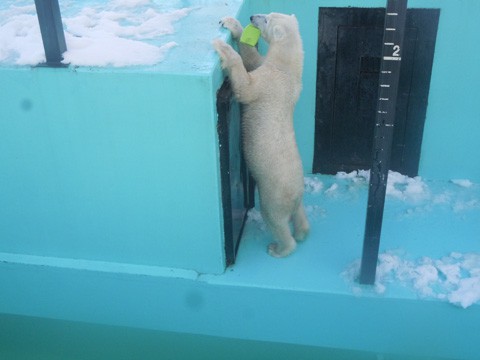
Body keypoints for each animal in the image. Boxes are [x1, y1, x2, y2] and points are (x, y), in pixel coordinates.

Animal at [213, 12, 310, 258]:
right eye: (268, 14)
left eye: (266, 20)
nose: (252, 16)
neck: (288, 71)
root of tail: (295, 196)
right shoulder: (269, 69)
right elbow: (252, 59)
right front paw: (233, 26)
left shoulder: (270, 83)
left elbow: (246, 86)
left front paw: (223, 48)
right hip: (295, 197)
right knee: (299, 215)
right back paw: (302, 232)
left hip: (274, 194)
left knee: (275, 219)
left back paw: (279, 248)